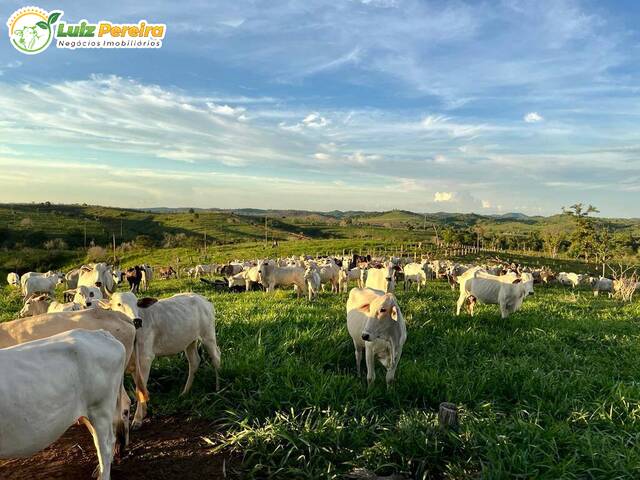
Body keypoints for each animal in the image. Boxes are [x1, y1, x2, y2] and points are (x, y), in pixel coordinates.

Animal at [100, 290, 220, 430]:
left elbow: (139, 388)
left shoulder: (145, 358)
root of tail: (204, 299)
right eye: (119, 304)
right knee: (194, 361)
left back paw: (218, 389)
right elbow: (140, 385)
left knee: (216, 358)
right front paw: (144, 411)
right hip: (190, 342)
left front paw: (137, 419)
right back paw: (185, 392)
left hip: (208, 336)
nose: (137, 321)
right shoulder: (135, 362)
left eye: (137, 304)